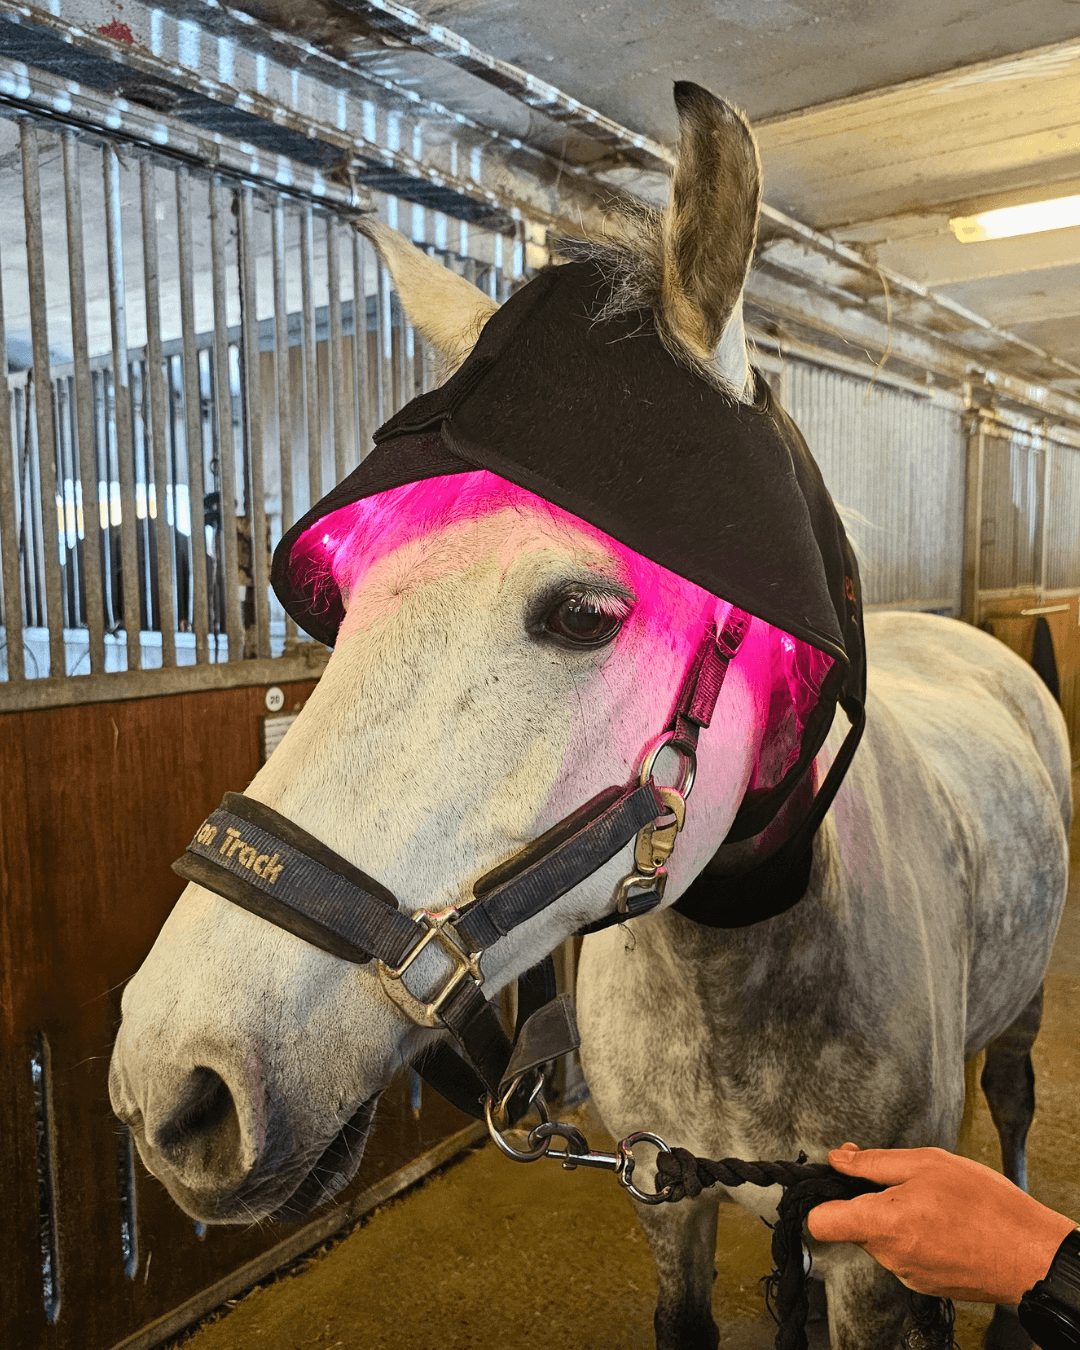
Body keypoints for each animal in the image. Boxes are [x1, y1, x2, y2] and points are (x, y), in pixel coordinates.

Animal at [108, 83, 1071, 1350]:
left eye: (579, 614)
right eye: (345, 598)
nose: (170, 1085)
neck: (734, 952)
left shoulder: (879, 1249)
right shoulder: (668, 1206)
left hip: (1018, 1020)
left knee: (1010, 1102)